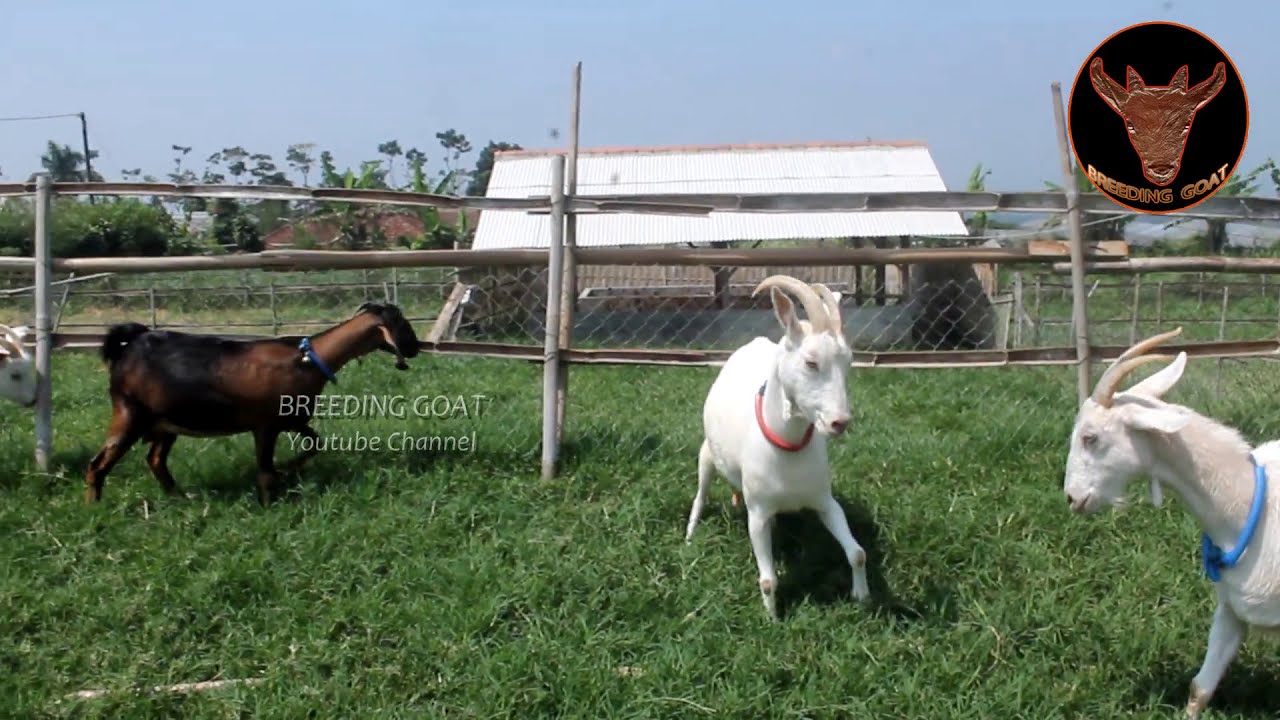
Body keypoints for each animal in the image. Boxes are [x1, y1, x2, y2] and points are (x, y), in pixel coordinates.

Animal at [85, 302, 420, 505]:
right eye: (403, 325)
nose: (416, 348)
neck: (308, 359)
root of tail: (129, 346)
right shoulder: (266, 426)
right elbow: (265, 469)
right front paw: (271, 499)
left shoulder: (293, 419)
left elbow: (315, 443)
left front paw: (290, 468)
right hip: (130, 413)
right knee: (97, 464)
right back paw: (95, 506)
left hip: (166, 422)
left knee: (155, 459)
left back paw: (179, 497)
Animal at [685, 274, 870, 620]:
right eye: (811, 362)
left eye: (848, 363)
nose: (839, 422)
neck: (788, 446)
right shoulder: (757, 512)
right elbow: (768, 579)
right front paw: (773, 619)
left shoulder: (824, 500)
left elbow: (858, 553)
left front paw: (862, 596)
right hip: (707, 454)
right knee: (700, 493)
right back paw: (690, 535)